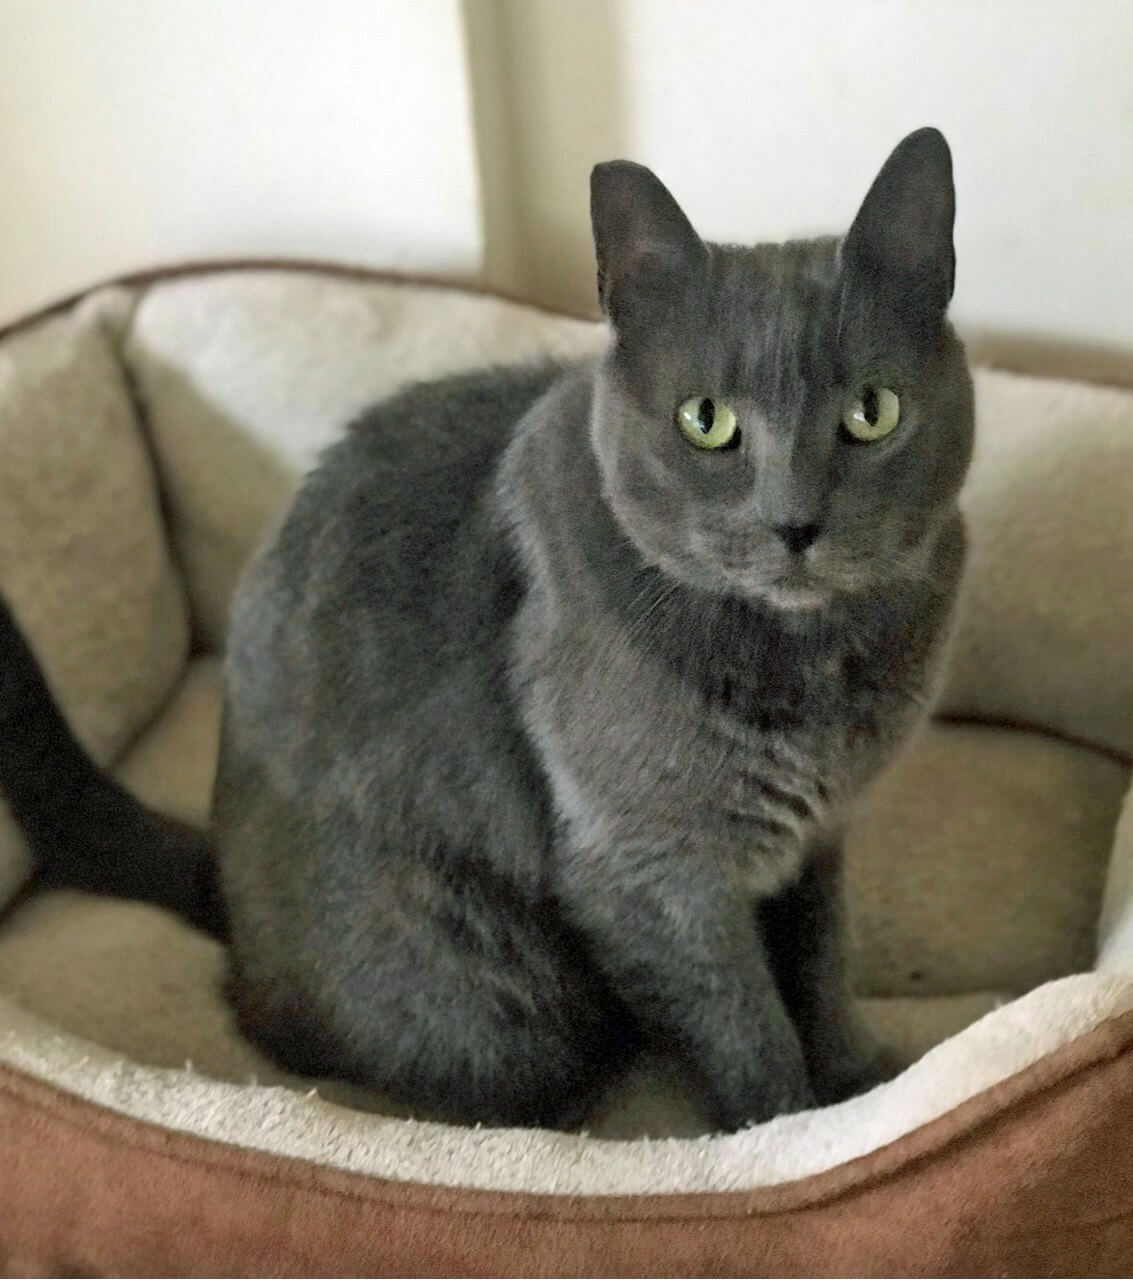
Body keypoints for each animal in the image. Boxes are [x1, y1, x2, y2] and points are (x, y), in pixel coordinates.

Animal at [0, 127, 972, 1131]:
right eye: (705, 421)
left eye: (872, 411)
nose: (794, 522)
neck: (811, 663)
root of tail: (225, 890)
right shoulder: (650, 874)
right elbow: (743, 1023)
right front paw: (788, 1126)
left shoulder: (819, 839)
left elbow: (819, 966)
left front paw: (860, 1081)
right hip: (495, 994)